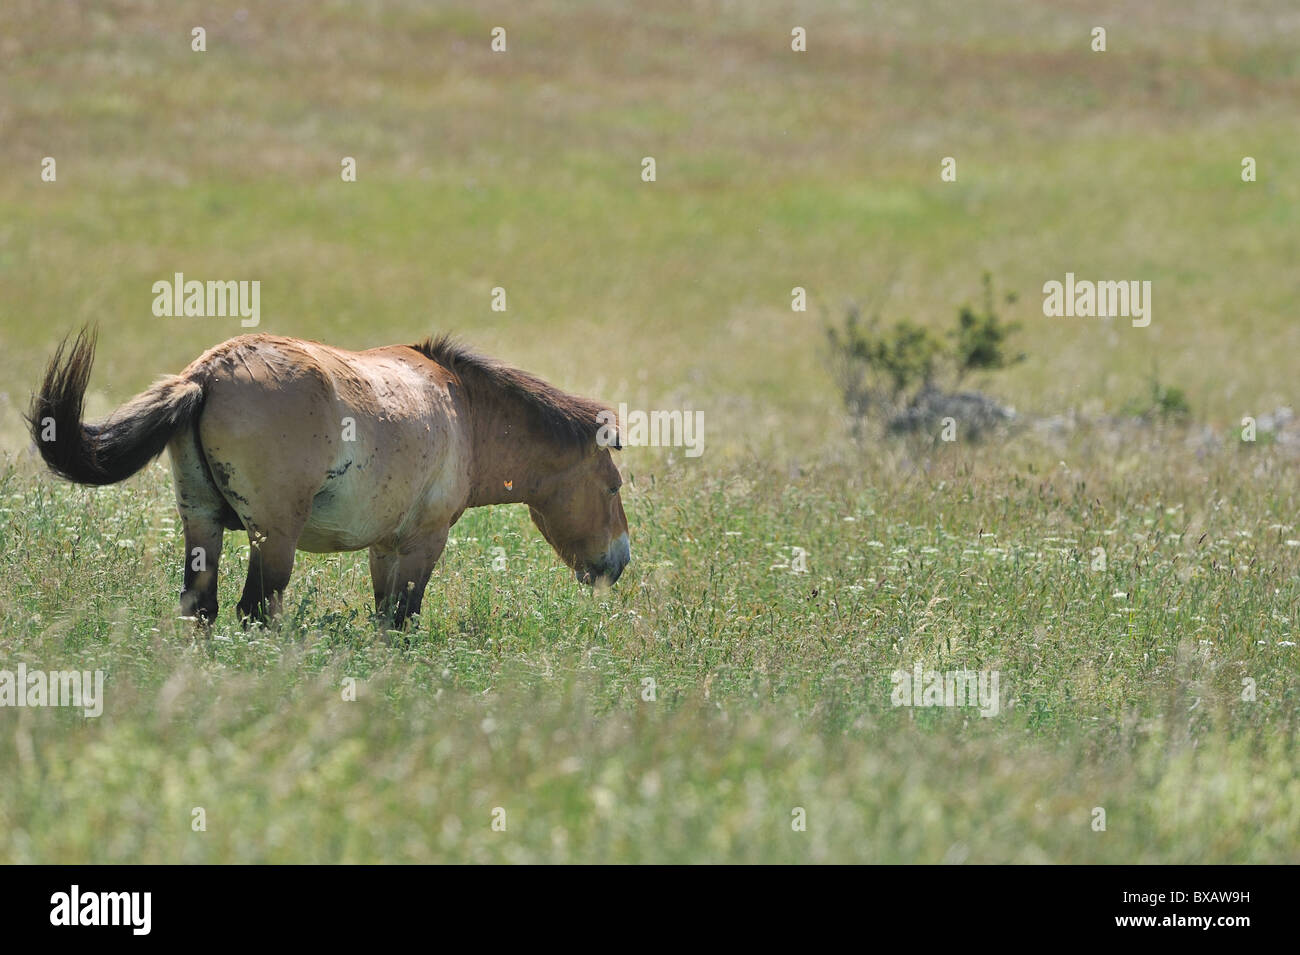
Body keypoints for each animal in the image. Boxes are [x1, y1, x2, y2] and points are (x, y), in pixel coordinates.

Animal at [32, 328, 631, 628]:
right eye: (613, 487)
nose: (620, 561)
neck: (463, 407)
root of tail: (203, 376)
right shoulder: (425, 541)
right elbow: (403, 620)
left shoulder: (385, 547)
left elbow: (384, 617)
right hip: (274, 535)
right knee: (254, 611)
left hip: (201, 522)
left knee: (201, 608)